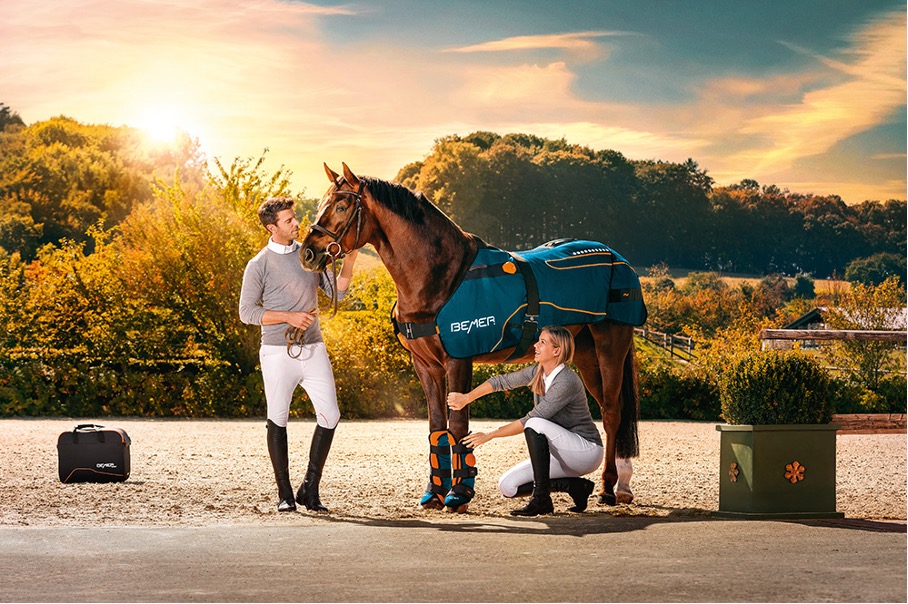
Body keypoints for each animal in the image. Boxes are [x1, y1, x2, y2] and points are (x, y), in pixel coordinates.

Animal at [300, 162, 641, 512]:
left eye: (342, 206)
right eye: (322, 203)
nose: (308, 254)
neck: (440, 275)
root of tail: (617, 259)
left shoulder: (459, 360)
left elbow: (458, 425)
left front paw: (459, 493)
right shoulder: (426, 366)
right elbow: (437, 427)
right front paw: (434, 492)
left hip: (610, 346)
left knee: (613, 411)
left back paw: (609, 488)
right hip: (585, 355)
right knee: (606, 407)